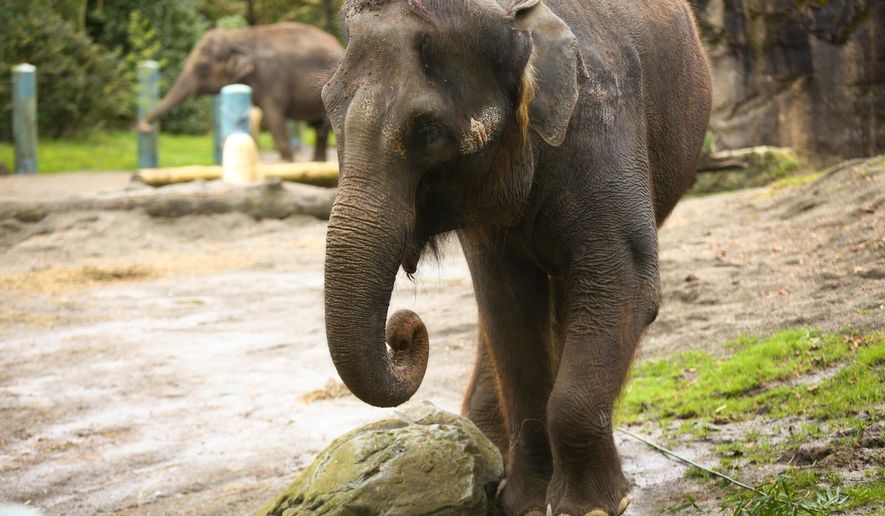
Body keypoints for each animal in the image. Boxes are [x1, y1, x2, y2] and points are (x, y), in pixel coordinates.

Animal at [138, 23, 344, 162]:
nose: (146, 128)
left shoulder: (271, 77)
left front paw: (287, 163)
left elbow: (274, 117)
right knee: (319, 128)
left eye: (202, 67)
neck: (239, 35)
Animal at [321, 0, 711, 514]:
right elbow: (508, 312)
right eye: (328, 110)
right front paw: (525, 501)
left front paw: (588, 507)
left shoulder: (602, 124)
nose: (402, 331)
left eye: (429, 133)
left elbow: (625, 283)